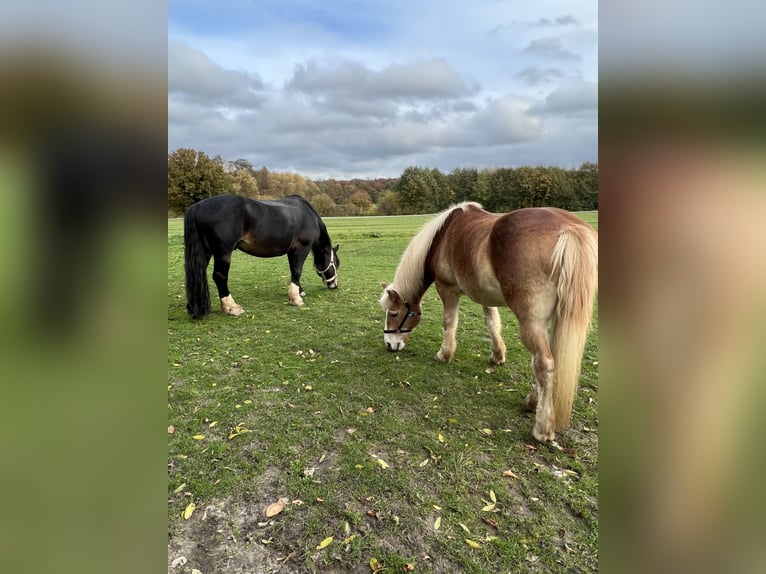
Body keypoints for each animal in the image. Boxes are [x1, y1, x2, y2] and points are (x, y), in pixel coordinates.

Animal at [184, 194, 340, 320]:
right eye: (335, 263)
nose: (334, 285)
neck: (308, 215)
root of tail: (197, 207)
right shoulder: (302, 247)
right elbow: (297, 271)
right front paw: (295, 299)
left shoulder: (291, 250)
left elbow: (293, 270)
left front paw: (299, 291)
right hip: (223, 252)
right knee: (219, 276)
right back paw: (232, 307)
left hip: (205, 251)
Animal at [380, 204, 600, 446]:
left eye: (394, 313)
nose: (389, 343)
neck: (443, 235)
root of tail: (569, 229)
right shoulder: (485, 295)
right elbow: (492, 323)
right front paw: (497, 355)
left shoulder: (447, 288)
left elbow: (449, 322)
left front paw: (444, 354)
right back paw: (532, 403)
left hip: (532, 323)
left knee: (544, 364)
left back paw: (542, 428)